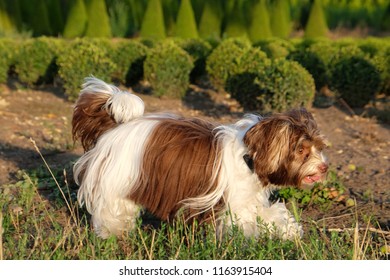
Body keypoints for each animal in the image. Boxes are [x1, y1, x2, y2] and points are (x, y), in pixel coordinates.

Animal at [71, 77, 328, 240]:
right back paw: (113, 235)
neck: (249, 158)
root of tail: (114, 127)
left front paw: (289, 231)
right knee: (113, 211)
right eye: (302, 151)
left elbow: (270, 215)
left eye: (318, 147)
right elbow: (246, 224)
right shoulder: (235, 206)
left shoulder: (248, 201)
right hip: (118, 183)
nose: (325, 167)